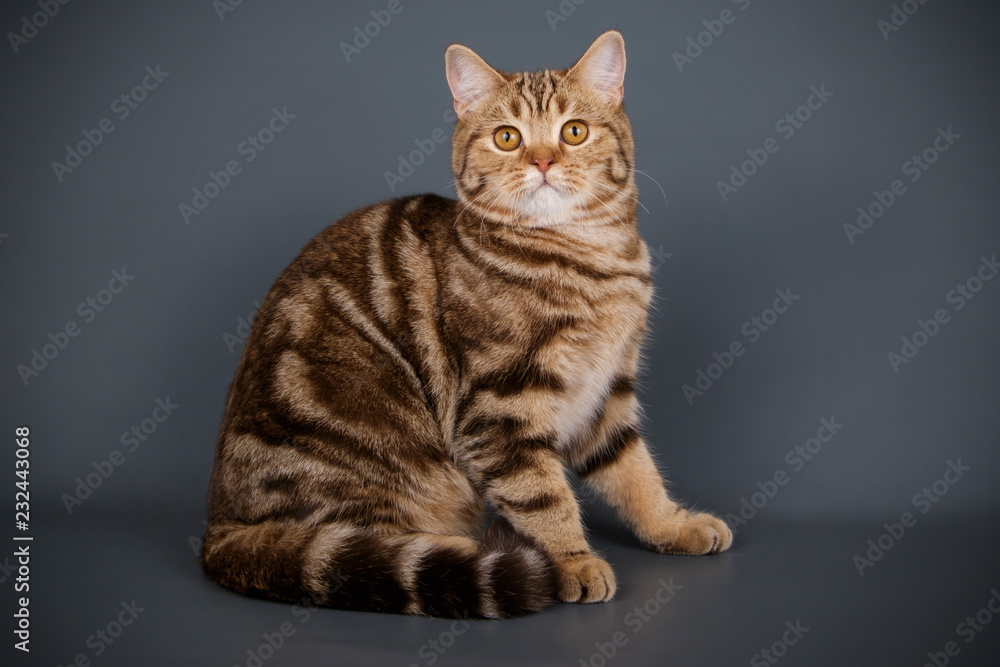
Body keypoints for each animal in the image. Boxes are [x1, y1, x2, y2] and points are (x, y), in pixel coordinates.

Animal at [201, 27, 736, 620]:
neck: (591, 260)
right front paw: (572, 561)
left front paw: (673, 525)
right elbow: (544, 496)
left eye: (573, 131)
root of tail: (218, 530)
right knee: (366, 550)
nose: (543, 161)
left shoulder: (605, 390)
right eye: (507, 137)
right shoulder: (498, 408)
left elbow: (635, 472)